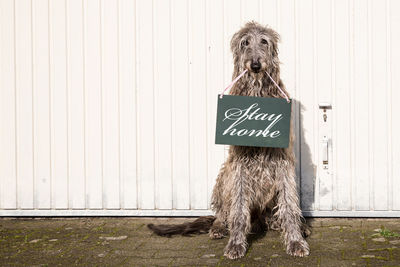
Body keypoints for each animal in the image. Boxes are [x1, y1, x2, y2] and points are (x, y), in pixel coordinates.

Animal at [148, 22, 310, 260]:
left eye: (264, 41)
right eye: (245, 43)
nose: (255, 65)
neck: (256, 92)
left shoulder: (283, 161)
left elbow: (289, 204)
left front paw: (295, 240)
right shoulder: (239, 165)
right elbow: (239, 209)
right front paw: (236, 243)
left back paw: (290, 224)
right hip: (225, 174)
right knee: (223, 213)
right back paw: (218, 227)